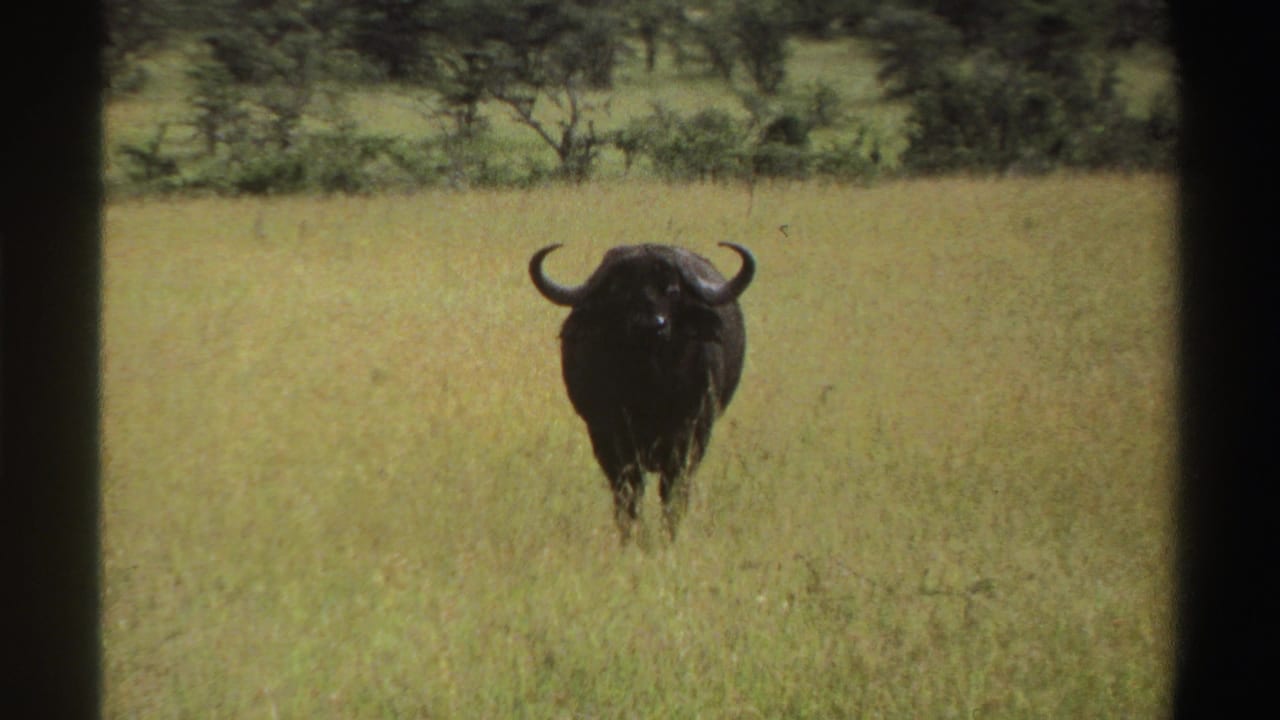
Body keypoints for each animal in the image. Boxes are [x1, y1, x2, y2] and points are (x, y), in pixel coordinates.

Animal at [529, 242, 756, 542]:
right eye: (618, 290)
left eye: (672, 289)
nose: (650, 325)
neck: (648, 387)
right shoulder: (609, 438)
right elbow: (628, 493)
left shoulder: (687, 436)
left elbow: (672, 493)